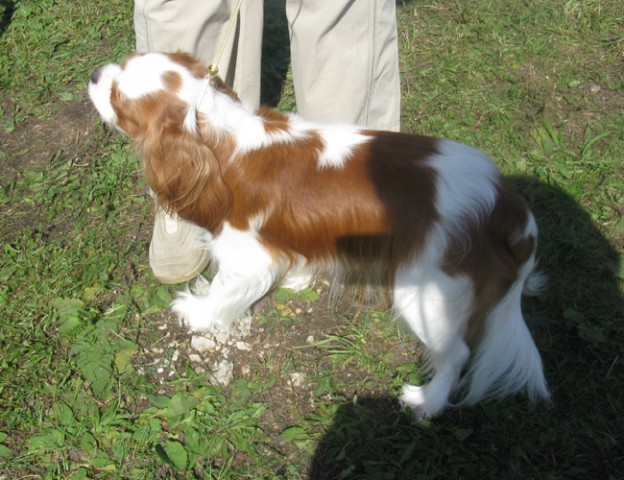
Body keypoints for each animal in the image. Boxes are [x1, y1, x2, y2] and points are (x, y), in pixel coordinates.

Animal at [89, 51, 552, 416]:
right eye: (124, 61)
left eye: (119, 100)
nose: (94, 74)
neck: (220, 138)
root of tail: (508, 203)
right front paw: (297, 277)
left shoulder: (245, 256)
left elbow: (222, 290)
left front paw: (198, 312)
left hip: (427, 292)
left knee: (456, 353)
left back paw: (427, 403)